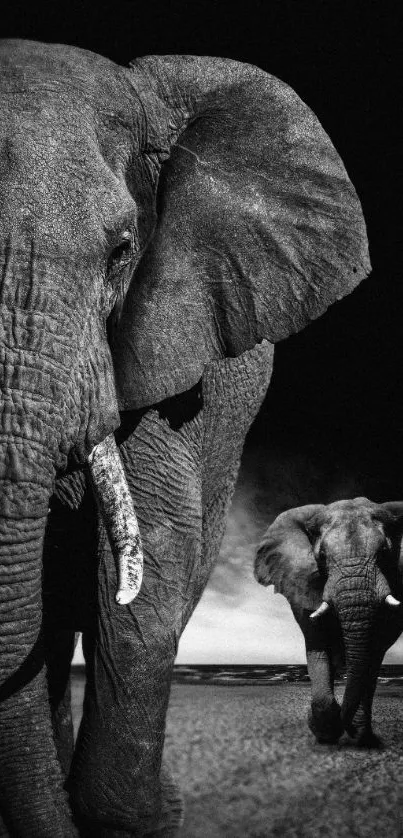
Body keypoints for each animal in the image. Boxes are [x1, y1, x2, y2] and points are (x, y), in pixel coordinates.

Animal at [254, 502, 403, 752]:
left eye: (384, 552)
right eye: (322, 556)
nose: (345, 726)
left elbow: (373, 652)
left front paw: (357, 735)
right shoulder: (303, 582)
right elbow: (318, 644)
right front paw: (325, 732)